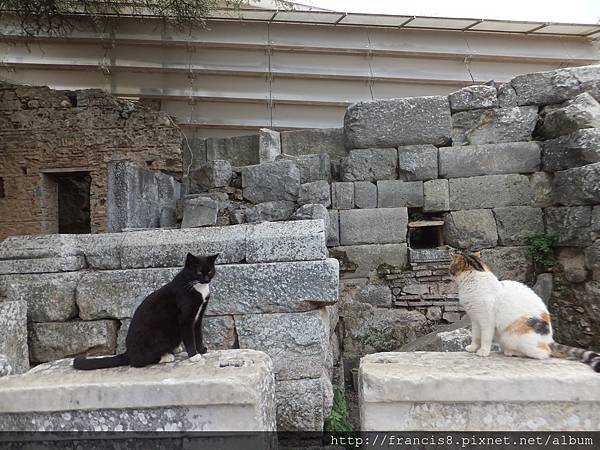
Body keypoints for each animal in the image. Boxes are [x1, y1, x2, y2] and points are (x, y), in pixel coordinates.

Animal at [73, 253, 218, 370]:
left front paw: (202, 350)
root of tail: (129, 352)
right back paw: (166, 356)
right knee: (137, 362)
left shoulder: (198, 317)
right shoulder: (185, 319)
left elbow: (198, 334)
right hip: (158, 335)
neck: (197, 287)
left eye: (210, 271)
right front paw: (194, 355)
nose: (206, 279)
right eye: (199, 272)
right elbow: (189, 337)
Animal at [452, 250, 596, 372]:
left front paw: (483, 351)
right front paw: (472, 348)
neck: (476, 276)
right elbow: (476, 337)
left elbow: (485, 338)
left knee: (544, 353)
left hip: (511, 336)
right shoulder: (475, 319)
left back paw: (511, 352)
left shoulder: (486, 321)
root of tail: (549, 339)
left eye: (450, 265)